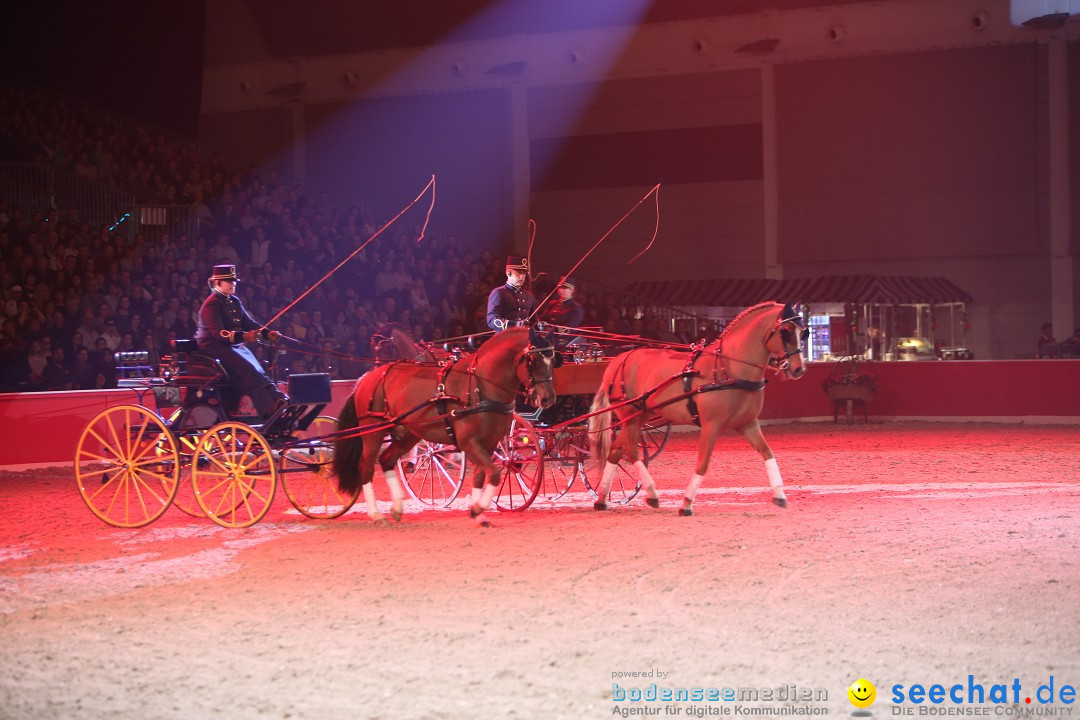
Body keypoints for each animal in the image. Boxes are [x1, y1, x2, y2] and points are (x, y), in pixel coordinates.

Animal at [332, 330, 557, 526]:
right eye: (533, 361)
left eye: (553, 360)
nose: (548, 399)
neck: (480, 387)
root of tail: (367, 377)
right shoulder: (469, 442)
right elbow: (493, 474)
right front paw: (477, 509)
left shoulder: (489, 444)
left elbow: (480, 476)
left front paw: (479, 514)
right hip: (373, 431)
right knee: (366, 467)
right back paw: (376, 515)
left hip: (408, 434)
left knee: (386, 460)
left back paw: (396, 509)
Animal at [587, 302, 807, 515]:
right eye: (785, 331)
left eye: (803, 332)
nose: (799, 369)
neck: (728, 369)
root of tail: (618, 359)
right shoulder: (711, 425)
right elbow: (703, 463)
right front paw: (686, 504)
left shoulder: (748, 424)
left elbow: (767, 453)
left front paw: (780, 496)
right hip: (631, 415)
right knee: (631, 450)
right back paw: (652, 493)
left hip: (642, 415)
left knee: (616, 449)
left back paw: (602, 499)